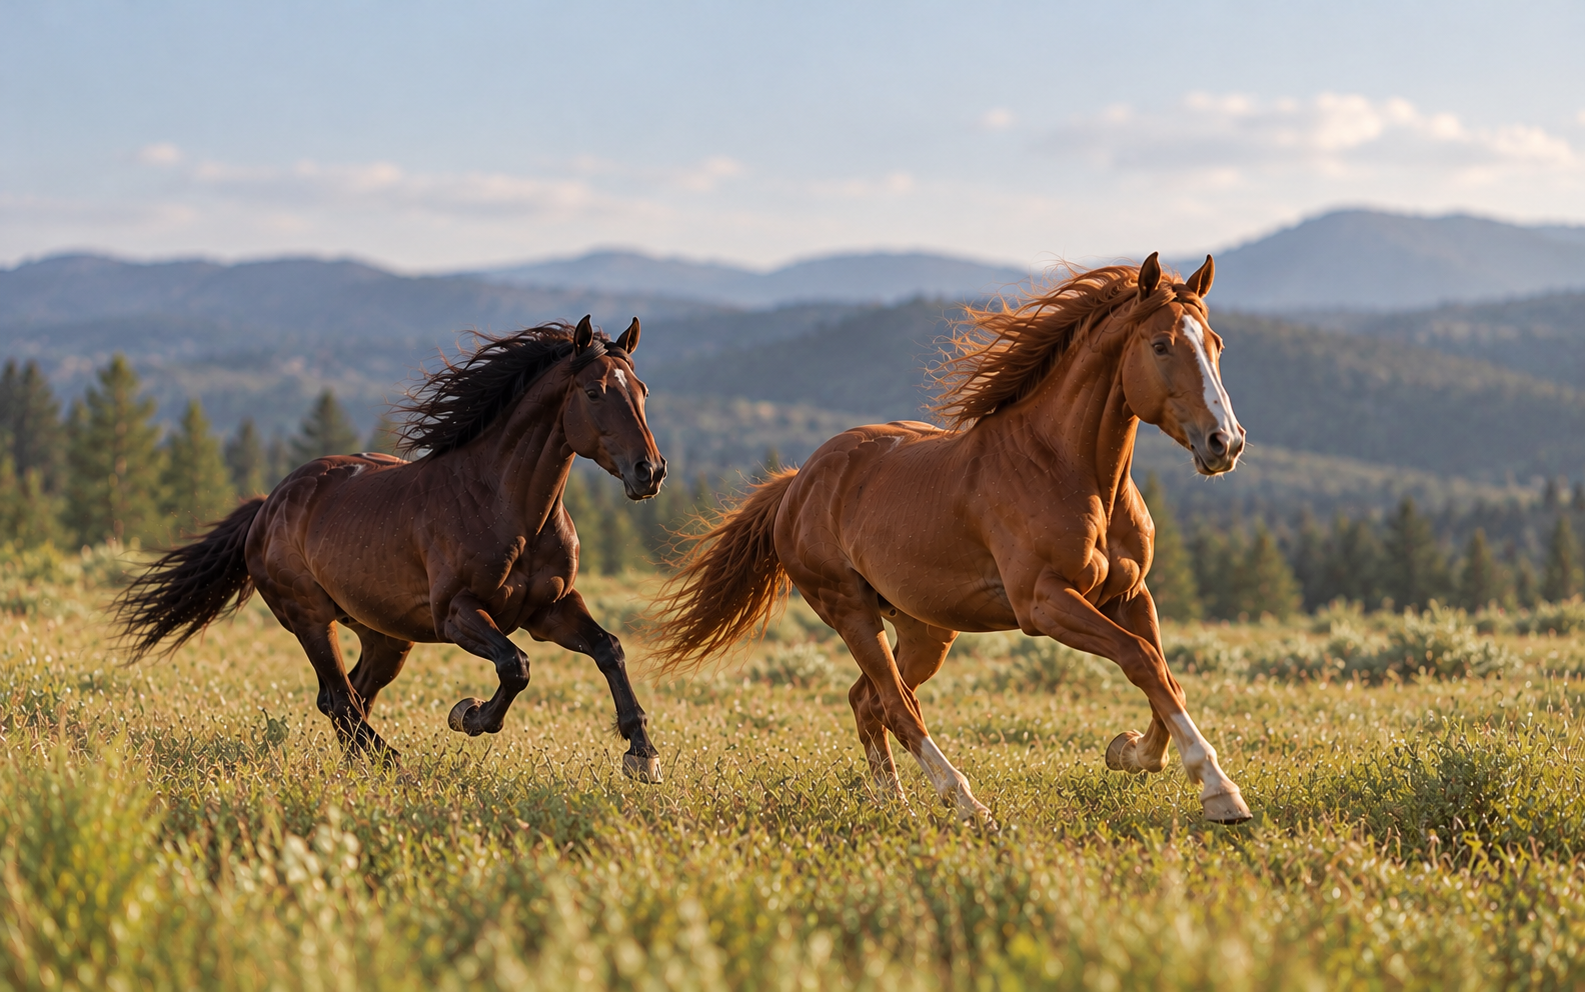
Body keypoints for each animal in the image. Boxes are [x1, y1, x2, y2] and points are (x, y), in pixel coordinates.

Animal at [113, 316, 669, 781]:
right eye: (595, 392)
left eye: (642, 390)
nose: (650, 471)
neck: (506, 508)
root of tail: (268, 504)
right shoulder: (458, 614)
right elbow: (516, 666)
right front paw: (469, 715)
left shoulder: (549, 609)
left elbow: (609, 649)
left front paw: (642, 754)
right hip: (309, 617)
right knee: (340, 698)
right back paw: (392, 762)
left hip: (385, 636)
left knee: (353, 695)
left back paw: (363, 765)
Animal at [648, 254, 1252, 823]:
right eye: (1161, 345)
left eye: (1217, 344)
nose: (1225, 442)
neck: (1070, 473)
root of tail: (798, 482)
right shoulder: (1044, 603)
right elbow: (1140, 659)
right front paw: (1219, 793)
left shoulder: (1129, 594)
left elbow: (1163, 674)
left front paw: (1132, 752)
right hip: (849, 610)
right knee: (896, 705)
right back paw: (965, 804)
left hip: (926, 629)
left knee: (867, 700)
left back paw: (894, 804)